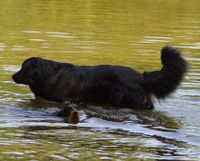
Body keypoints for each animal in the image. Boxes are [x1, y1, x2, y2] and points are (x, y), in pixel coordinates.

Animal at [12, 46, 188, 110]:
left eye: (23, 67)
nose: (12, 76)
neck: (47, 74)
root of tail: (140, 77)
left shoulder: (63, 99)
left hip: (122, 98)